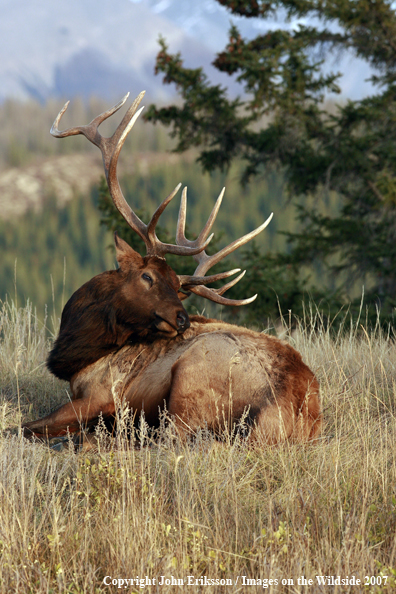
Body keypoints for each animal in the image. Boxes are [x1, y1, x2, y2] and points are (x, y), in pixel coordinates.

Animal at [21, 91, 322, 444]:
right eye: (147, 276)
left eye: (177, 287)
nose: (182, 319)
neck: (77, 352)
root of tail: (294, 407)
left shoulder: (101, 393)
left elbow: (23, 427)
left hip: (191, 379)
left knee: (170, 436)